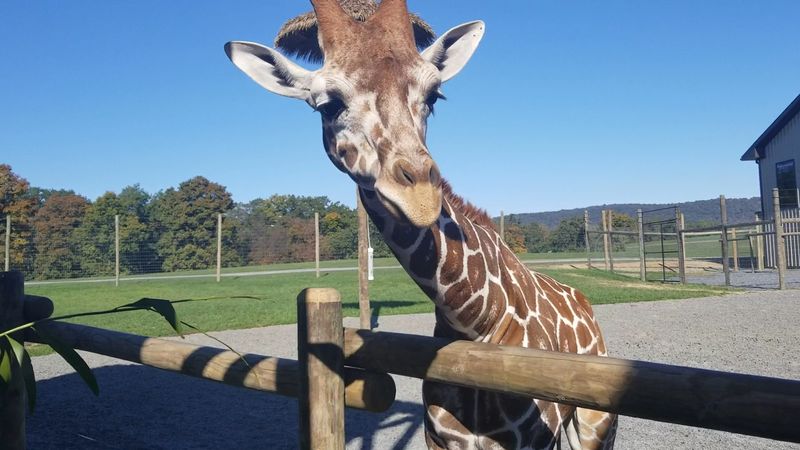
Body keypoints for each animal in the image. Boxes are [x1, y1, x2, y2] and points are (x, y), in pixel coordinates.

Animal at [225, 0, 617, 448]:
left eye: (435, 95)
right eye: (328, 104)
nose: (420, 199)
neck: (477, 322)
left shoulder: (536, 438)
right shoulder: (440, 437)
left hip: (594, 424)